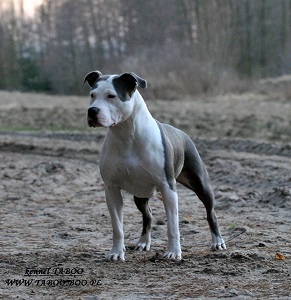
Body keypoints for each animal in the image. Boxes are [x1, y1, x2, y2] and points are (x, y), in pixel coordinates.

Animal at [83, 70, 227, 260]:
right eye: (92, 95)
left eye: (111, 96)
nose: (92, 110)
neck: (126, 135)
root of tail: (182, 133)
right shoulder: (111, 189)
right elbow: (117, 227)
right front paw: (116, 252)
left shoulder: (167, 187)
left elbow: (172, 225)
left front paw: (173, 252)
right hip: (140, 194)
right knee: (148, 215)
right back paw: (144, 242)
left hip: (200, 184)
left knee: (211, 212)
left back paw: (217, 241)